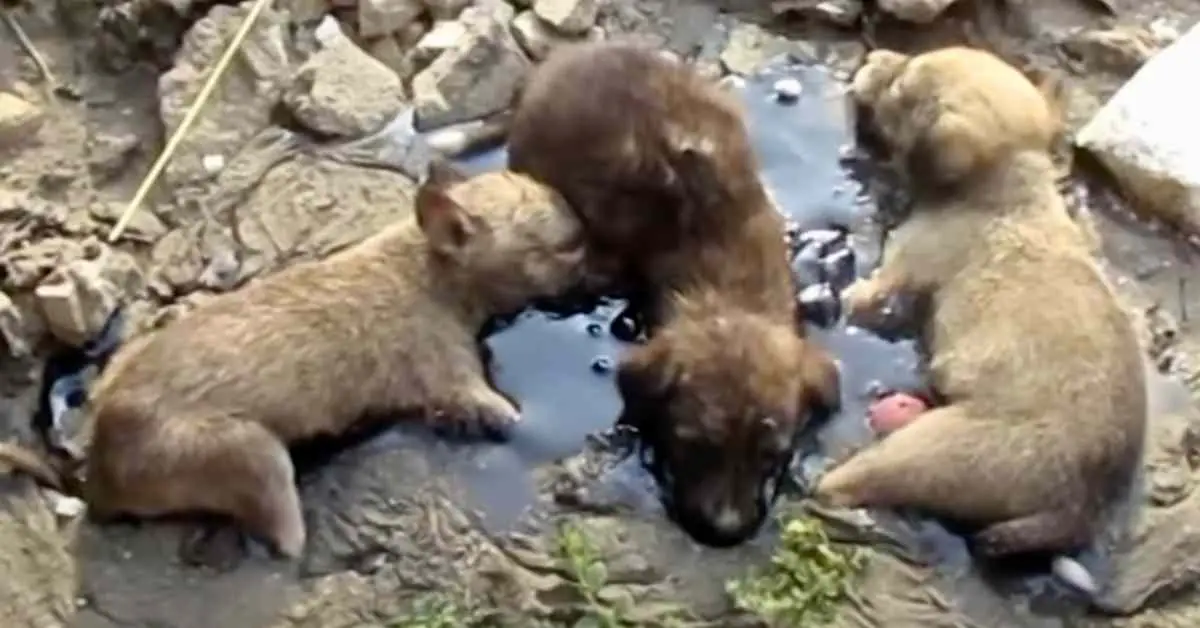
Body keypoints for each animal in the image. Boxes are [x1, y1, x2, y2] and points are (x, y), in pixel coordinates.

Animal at [0, 163, 585, 559]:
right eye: (559, 248)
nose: (588, 242)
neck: (428, 264)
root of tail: (98, 472)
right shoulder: (455, 379)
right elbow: (505, 414)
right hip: (251, 454)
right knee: (286, 540)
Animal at [816, 45, 1142, 564]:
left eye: (901, 88)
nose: (874, 54)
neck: (1007, 188)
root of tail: (1080, 504)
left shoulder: (902, 266)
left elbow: (867, 295)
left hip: (940, 449)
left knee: (855, 483)